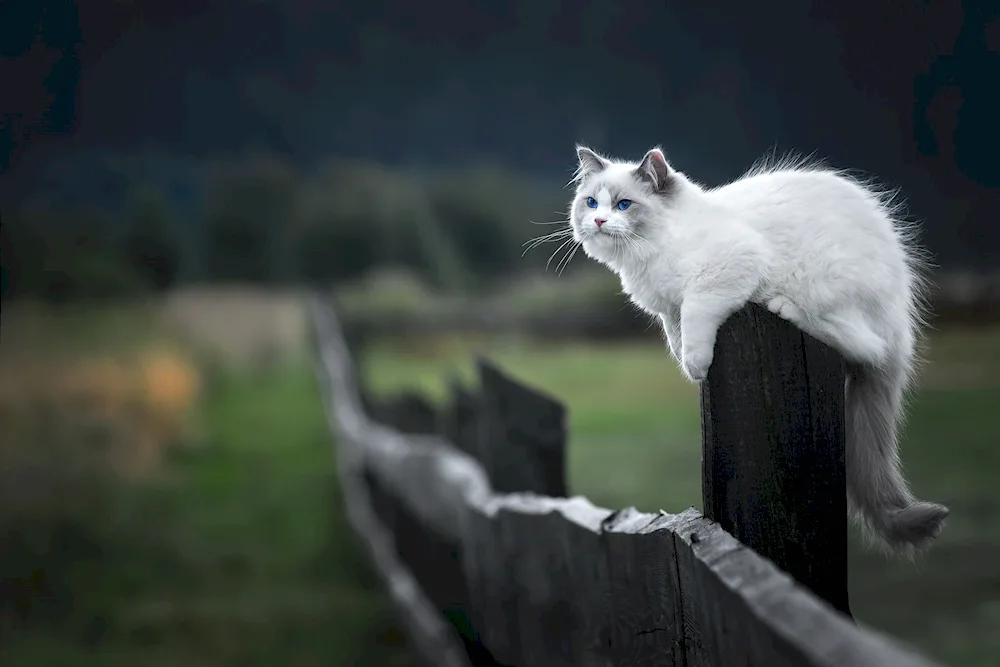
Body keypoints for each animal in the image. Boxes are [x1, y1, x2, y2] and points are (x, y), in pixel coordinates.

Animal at [568, 145, 948, 552]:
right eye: (591, 203)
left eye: (624, 205)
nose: (600, 220)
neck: (649, 254)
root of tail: (901, 309)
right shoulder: (669, 311)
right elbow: (677, 336)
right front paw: (685, 360)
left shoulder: (723, 274)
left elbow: (696, 321)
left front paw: (696, 365)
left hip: (826, 285)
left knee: (865, 347)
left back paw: (785, 307)